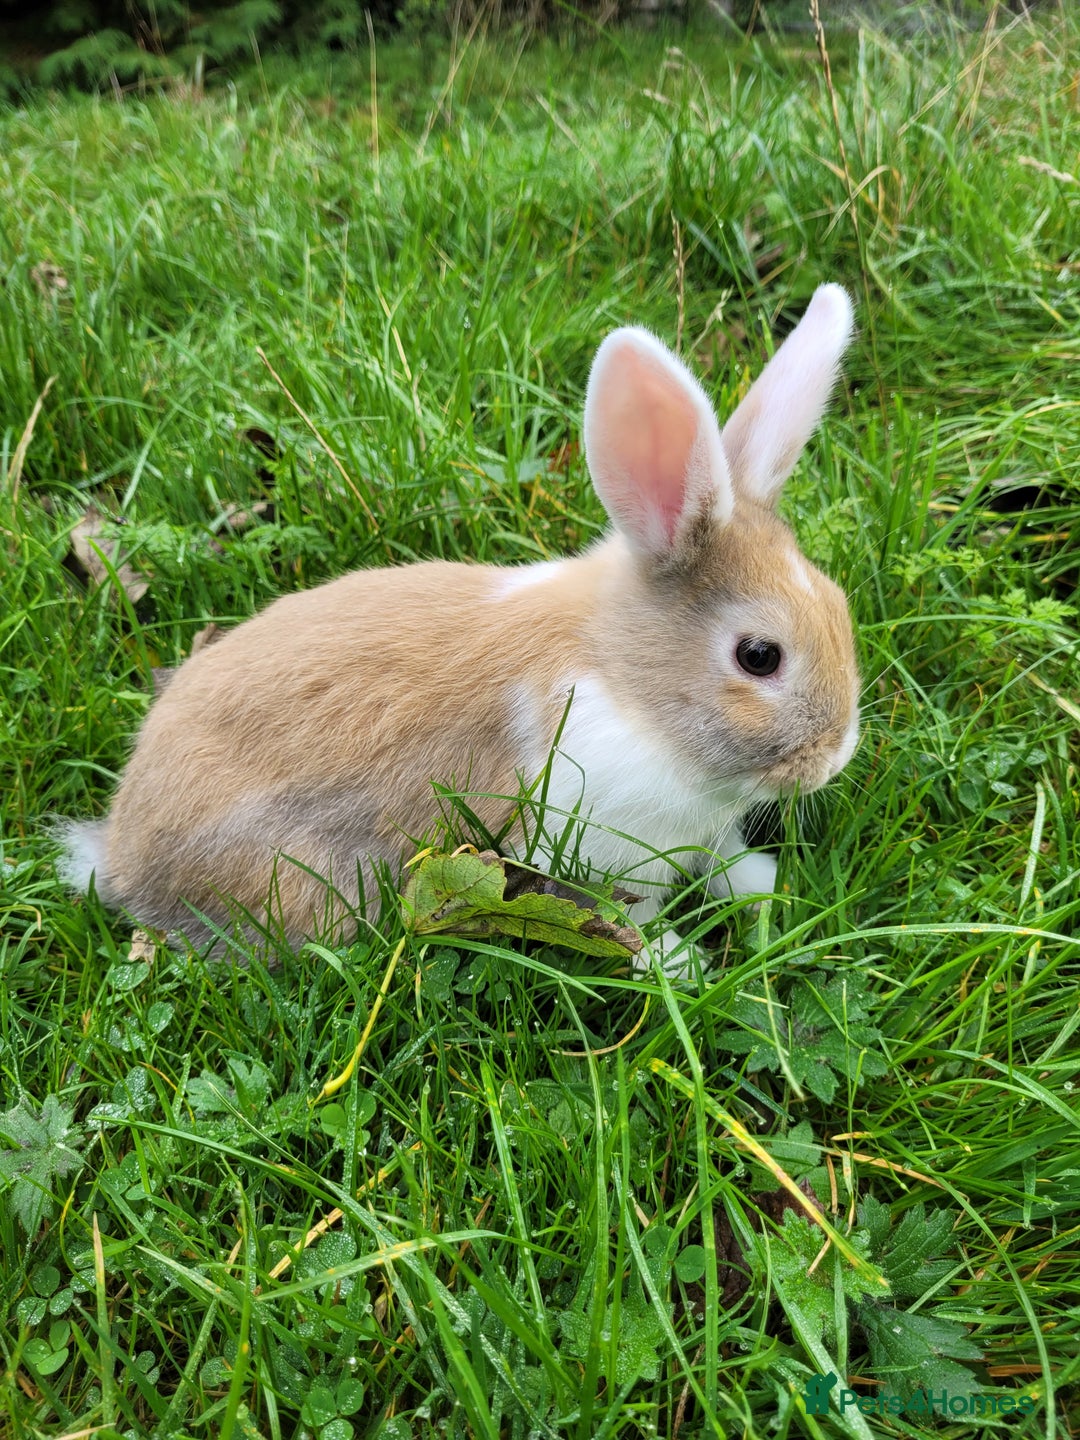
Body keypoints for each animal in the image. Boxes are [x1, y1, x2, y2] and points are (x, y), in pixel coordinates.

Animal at [60, 283, 860, 966]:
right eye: (758, 656)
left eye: (838, 601)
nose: (834, 759)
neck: (627, 684)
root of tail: (119, 854)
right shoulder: (596, 847)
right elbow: (626, 919)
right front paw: (681, 963)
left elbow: (724, 860)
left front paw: (765, 885)